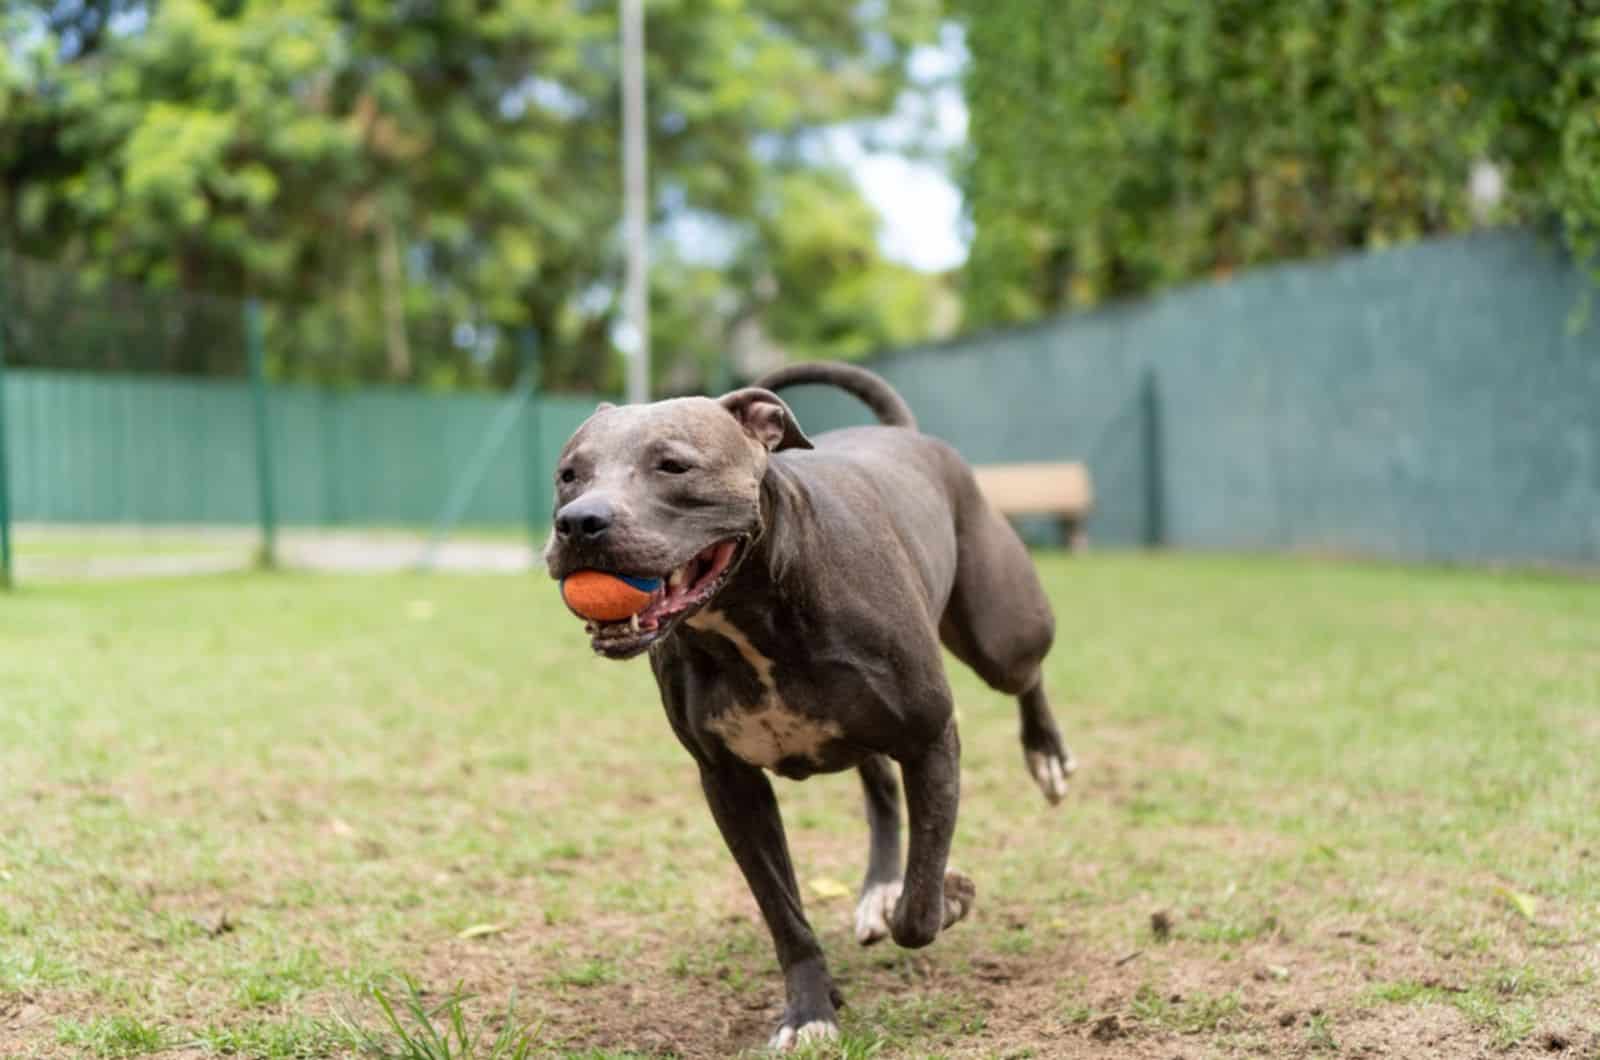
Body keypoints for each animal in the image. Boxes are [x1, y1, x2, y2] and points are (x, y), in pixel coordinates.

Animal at [547, 361, 1075, 1050]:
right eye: (568, 474)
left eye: (673, 466)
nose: (578, 522)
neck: (751, 611)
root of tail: (906, 434)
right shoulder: (731, 785)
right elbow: (784, 915)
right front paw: (810, 1009)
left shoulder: (931, 738)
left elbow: (919, 909)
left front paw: (949, 894)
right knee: (882, 790)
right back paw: (879, 886)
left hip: (999, 631)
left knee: (1025, 674)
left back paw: (1046, 758)